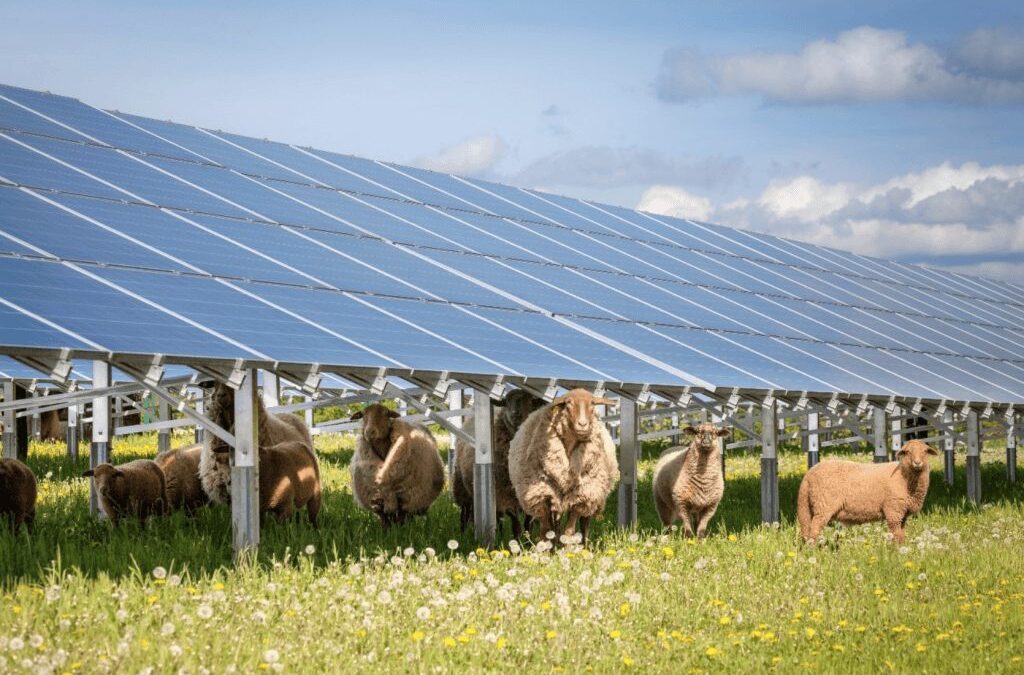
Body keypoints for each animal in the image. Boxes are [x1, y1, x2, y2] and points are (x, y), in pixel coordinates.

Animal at [454, 391, 548, 536]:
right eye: (506, 402)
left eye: (531, 400)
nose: (514, 413)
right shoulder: (503, 493)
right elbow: (515, 522)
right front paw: (517, 539)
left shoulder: (533, 493)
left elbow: (528, 522)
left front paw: (528, 538)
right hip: (461, 487)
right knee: (465, 513)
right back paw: (463, 533)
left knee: (496, 517)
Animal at [507, 391, 618, 544]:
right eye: (568, 403)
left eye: (593, 404)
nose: (582, 424)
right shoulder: (543, 496)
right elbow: (546, 530)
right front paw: (546, 548)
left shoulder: (580, 497)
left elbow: (569, 531)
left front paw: (568, 547)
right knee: (555, 526)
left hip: (591, 493)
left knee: (584, 524)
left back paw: (584, 545)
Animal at [794, 438, 937, 544]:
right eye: (907, 452)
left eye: (925, 451)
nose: (917, 463)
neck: (903, 477)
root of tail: (809, 474)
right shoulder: (893, 511)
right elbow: (896, 534)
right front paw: (897, 551)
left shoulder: (902, 514)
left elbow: (901, 535)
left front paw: (902, 549)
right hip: (823, 505)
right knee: (814, 529)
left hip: (809, 506)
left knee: (807, 528)